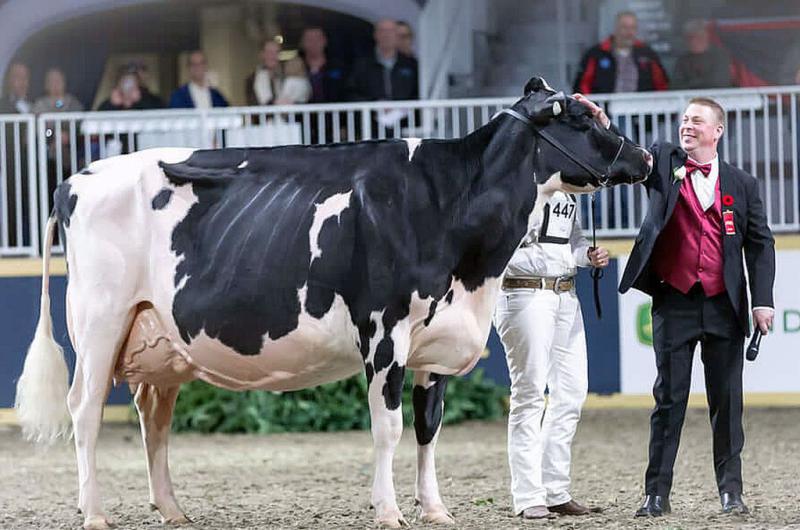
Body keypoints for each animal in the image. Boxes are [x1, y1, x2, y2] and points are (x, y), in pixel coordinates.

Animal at [15, 76, 652, 524]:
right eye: (582, 116)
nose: (645, 157)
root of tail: (74, 179)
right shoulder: (385, 333)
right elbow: (388, 427)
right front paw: (389, 511)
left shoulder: (435, 344)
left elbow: (429, 427)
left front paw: (435, 510)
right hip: (98, 322)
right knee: (85, 410)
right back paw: (94, 513)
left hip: (160, 339)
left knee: (153, 417)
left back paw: (172, 510)